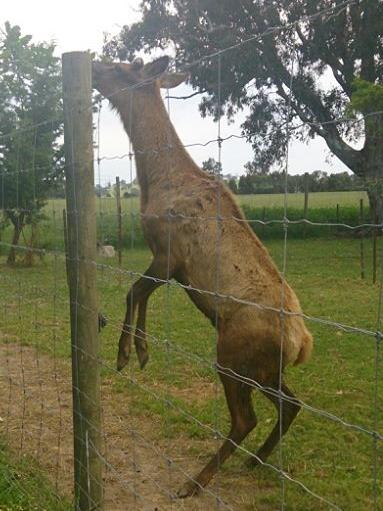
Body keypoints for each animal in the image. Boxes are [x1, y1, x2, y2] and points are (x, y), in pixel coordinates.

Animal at [91, 57, 314, 500]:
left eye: (123, 67)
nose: (92, 65)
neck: (154, 183)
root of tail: (302, 345)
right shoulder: (172, 266)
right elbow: (140, 294)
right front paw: (141, 351)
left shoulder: (170, 254)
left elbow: (133, 291)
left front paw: (127, 354)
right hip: (265, 368)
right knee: (291, 404)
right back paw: (255, 461)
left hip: (232, 354)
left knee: (246, 419)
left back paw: (195, 481)